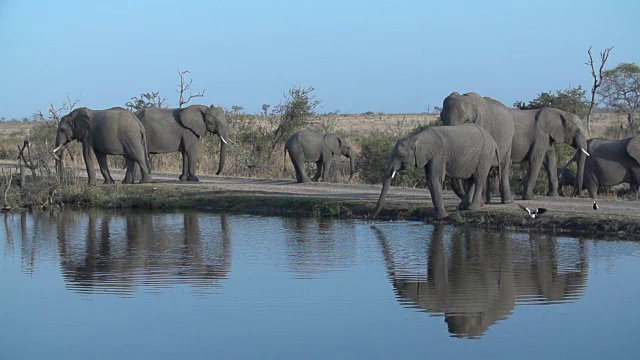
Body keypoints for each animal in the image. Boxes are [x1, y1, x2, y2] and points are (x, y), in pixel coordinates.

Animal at [370, 124, 500, 219]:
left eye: (401, 156)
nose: (372, 219)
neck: (416, 137)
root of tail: (493, 141)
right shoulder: (428, 156)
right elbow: (430, 179)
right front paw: (438, 216)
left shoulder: (438, 154)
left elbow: (434, 178)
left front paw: (442, 217)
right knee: (471, 180)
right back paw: (461, 208)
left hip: (485, 154)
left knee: (479, 179)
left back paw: (472, 209)